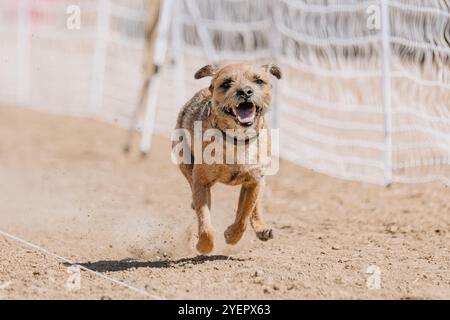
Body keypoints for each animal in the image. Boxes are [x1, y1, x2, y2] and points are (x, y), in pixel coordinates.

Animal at [173, 62, 282, 254]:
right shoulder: (201, 181)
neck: (237, 139)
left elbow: (244, 214)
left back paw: (261, 228)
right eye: (226, 83)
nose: (245, 91)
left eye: (259, 81)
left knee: (253, 206)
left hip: (259, 180)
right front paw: (203, 245)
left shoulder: (253, 181)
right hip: (185, 161)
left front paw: (232, 235)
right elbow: (205, 223)